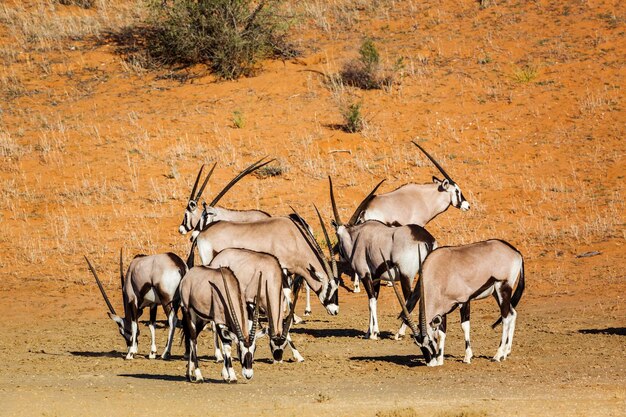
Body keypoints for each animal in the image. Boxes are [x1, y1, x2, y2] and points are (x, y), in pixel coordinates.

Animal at [326, 177, 434, 340]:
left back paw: (399, 333)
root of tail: (426, 240)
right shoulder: (376, 277)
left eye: (337, 235)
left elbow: (371, 301)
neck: (358, 236)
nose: (341, 255)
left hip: (406, 276)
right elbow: (373, 301)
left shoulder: (365, 275)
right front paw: (367, 332)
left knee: (409, 300)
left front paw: (374, 333)